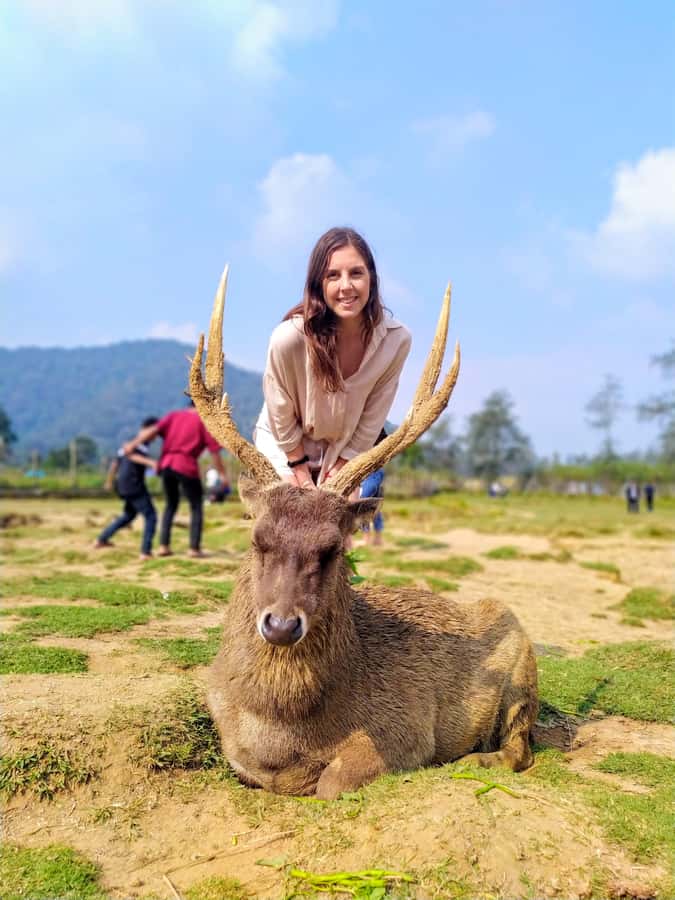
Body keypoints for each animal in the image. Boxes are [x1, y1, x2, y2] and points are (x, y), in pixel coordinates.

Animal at [189, 266, 538, 800]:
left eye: (333, 547)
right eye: (257, 540)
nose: (281, 624)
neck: (280, 729)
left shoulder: (406, 728)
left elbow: (332, 783)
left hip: (524, 672)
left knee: (520, 750)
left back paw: (475, 759)